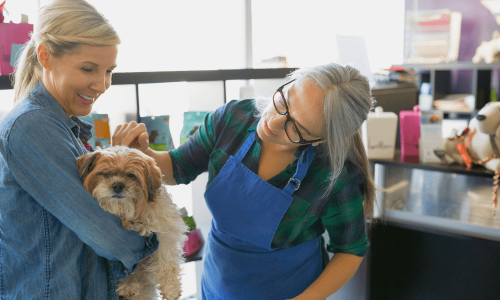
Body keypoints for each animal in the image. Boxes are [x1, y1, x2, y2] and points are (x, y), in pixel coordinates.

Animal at [76, 146, 188, 300]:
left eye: (131, 176)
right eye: (105, 174)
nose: (117, 185)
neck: (128, 215)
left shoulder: (164, 228)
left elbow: (167, 259)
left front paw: (171, 288)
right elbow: (127, 267)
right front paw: (128, 285)